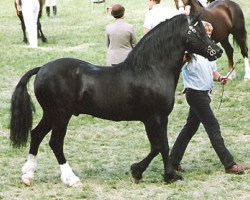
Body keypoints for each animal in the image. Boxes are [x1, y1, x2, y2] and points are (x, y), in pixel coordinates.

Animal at [8, 14, 222, 188]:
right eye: (199, 31)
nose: (217, 51)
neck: (151, 70)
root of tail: (42, 69)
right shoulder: (156, 118)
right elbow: (161, 146)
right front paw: (165, 175)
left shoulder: (154, 120)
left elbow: (157, 146)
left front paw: (140, 171)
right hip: (61, 116)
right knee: (55, 143)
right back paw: (71, 179)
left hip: (51, 114)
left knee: (36, 134)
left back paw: (28, 175)